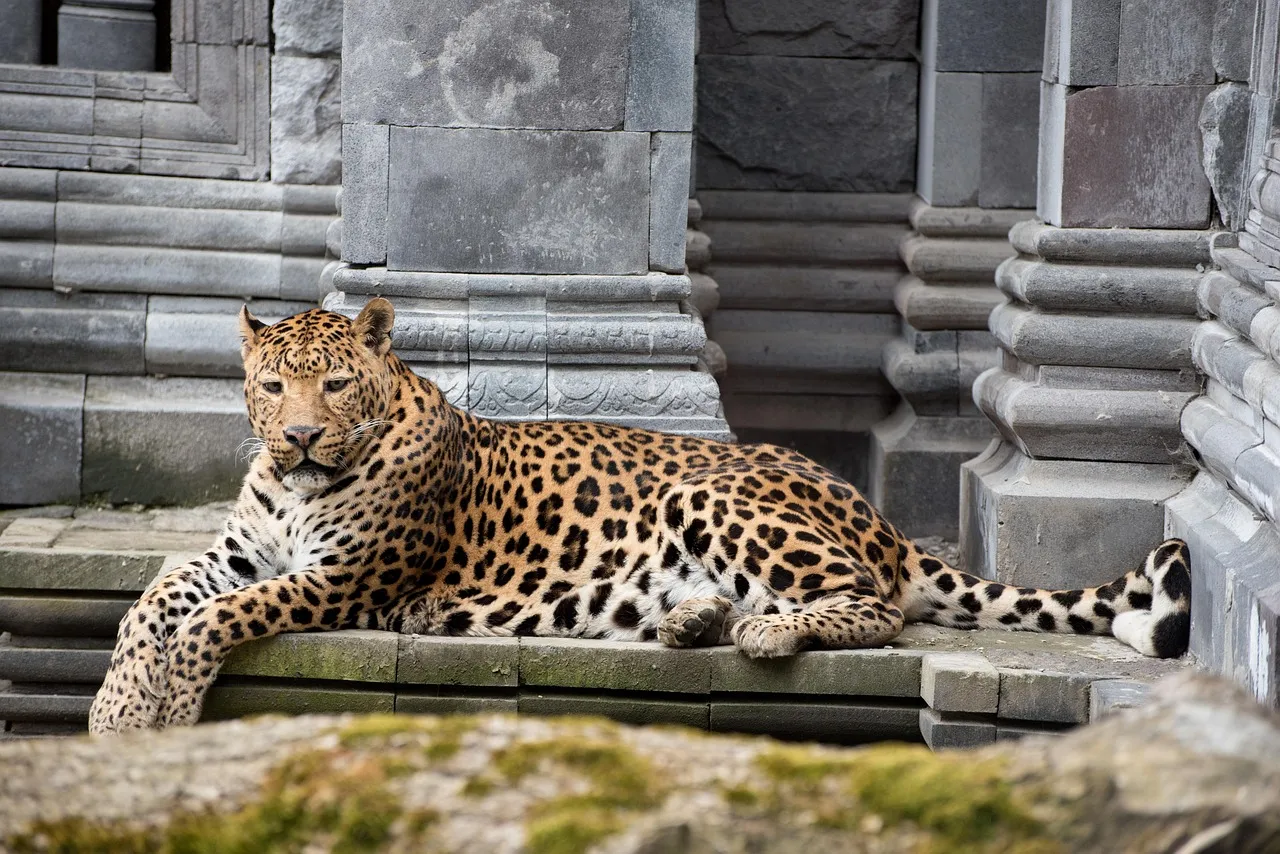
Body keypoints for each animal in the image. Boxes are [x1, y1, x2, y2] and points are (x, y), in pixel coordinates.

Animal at [89, 298, 1192, 734]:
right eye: (272, 385)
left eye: (336, 384)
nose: (300, 437)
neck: (299, 491)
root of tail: (869, 510)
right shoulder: (239, 553)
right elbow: (151, 600)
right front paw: (113, 709)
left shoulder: (342, 576)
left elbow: (212, 621)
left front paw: (168, 708)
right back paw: (688, 620)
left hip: (715, 494)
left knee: (874, 601)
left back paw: (761, 631)